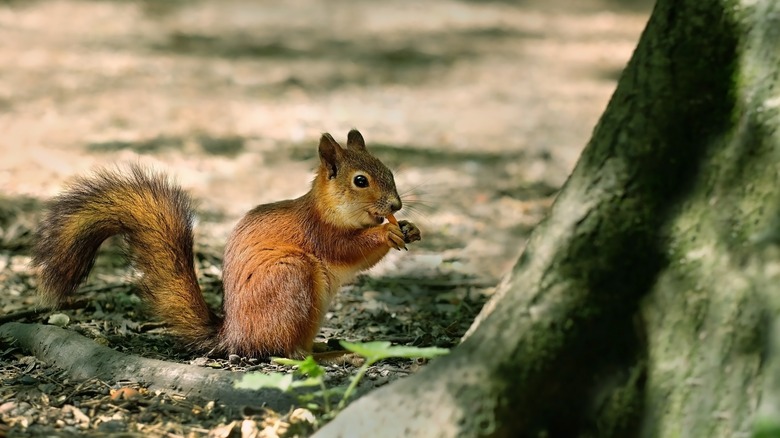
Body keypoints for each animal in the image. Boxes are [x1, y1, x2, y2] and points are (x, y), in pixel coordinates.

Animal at [32, 130, 420, 360]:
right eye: (360, 181)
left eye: (389, 171)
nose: (396, 205)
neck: (327, 208)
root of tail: (233, 337)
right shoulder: (319, 232)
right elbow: (347, 249)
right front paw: (387, 233)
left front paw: (410, 229)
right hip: (291, 277)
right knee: (286, 352)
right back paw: (330, 354)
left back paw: (325, 345)